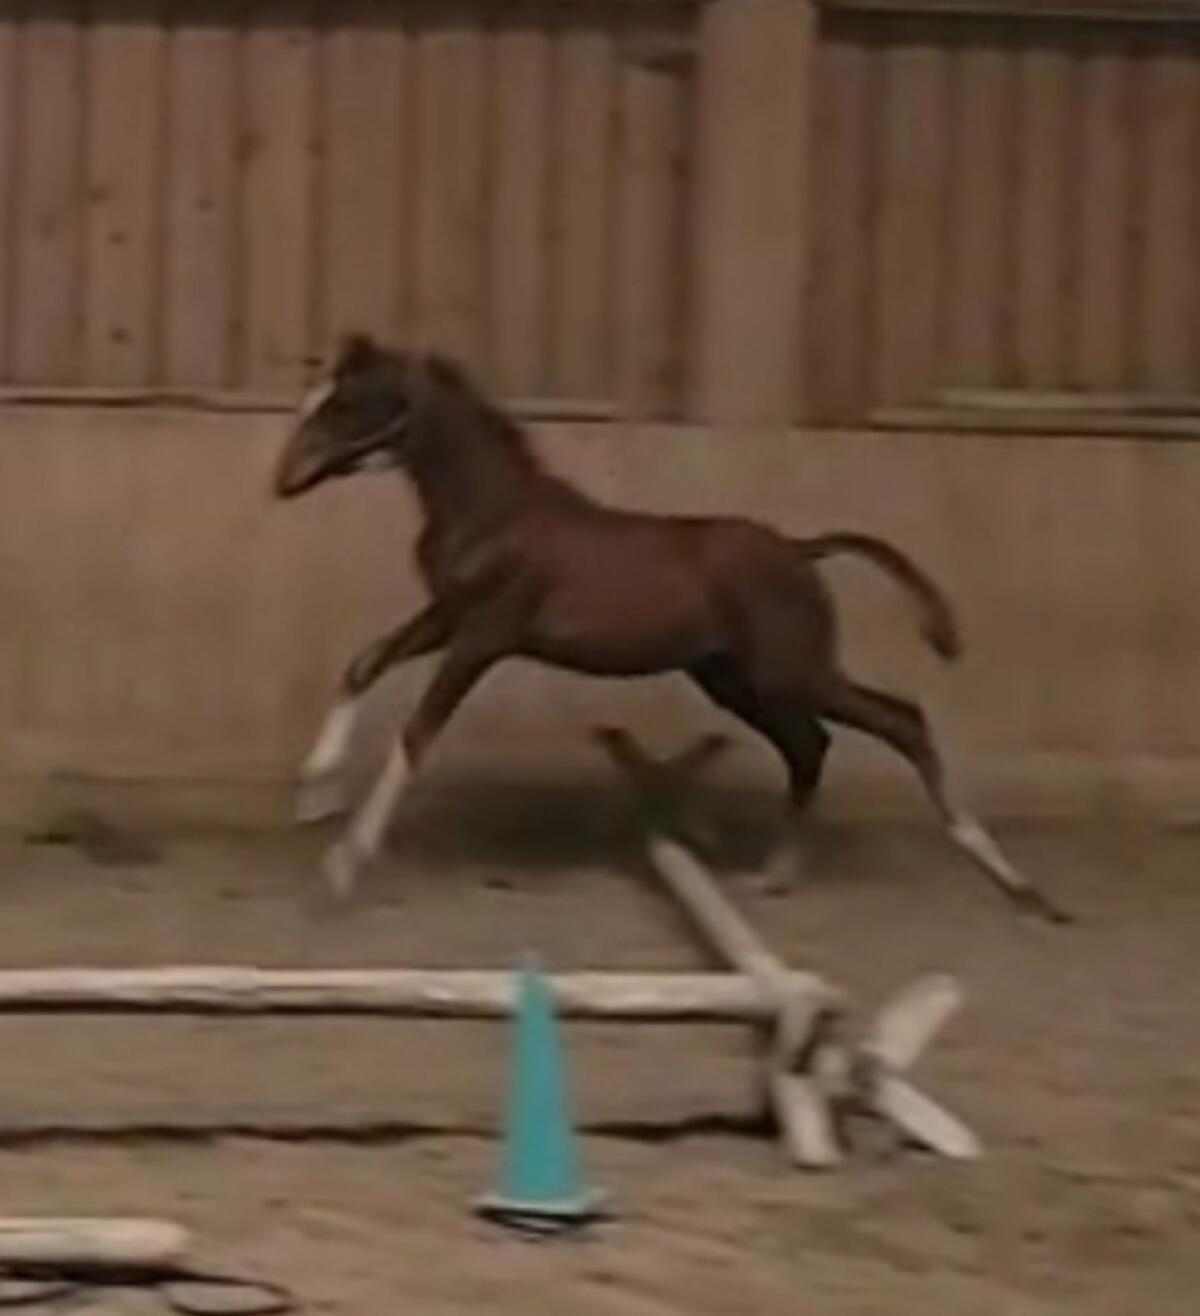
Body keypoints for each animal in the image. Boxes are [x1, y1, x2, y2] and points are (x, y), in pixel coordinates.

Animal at [273, 334, 1067, 923]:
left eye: (348, 402)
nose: (283, 479)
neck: (494, 509)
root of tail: (801, 549)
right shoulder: (448, 617)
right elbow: (362, 664)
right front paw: (313, 798)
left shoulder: (485, 635)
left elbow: (417, 732)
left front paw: (342, 865)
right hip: (732, 680)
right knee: (811, 746)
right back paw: (775, 875)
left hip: (788, 670)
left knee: (900, 721)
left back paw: (1016, 884)